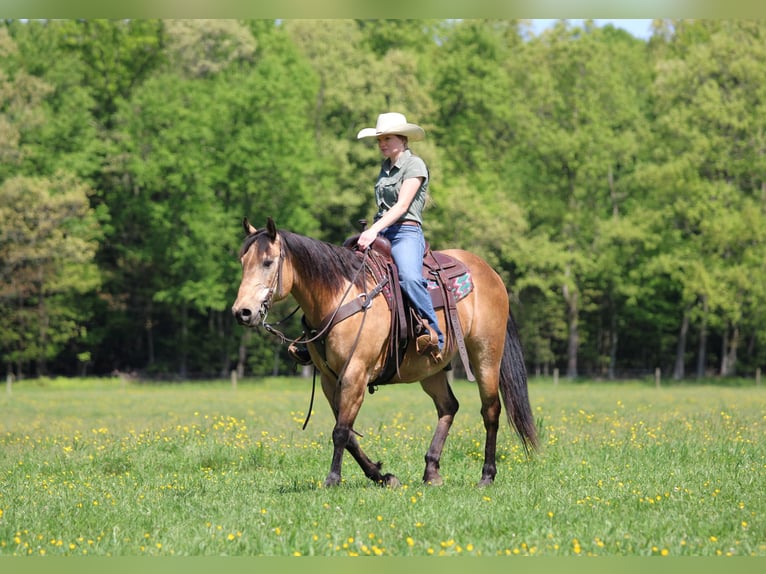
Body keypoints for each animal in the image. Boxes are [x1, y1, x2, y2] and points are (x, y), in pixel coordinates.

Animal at [232, 217, 538, 487]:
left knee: (491, 411)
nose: (242, 312)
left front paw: (333, 479)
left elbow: (341, 431)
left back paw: (486, 475)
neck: (340, 295)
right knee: (448, 406)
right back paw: (431, 471)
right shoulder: (330, 380)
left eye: (268, 262)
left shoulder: (355, 374)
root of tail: (490, 273)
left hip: (486, 355)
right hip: (431, 368)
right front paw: (381, 476)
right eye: (243, 263)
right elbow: (348, 434)